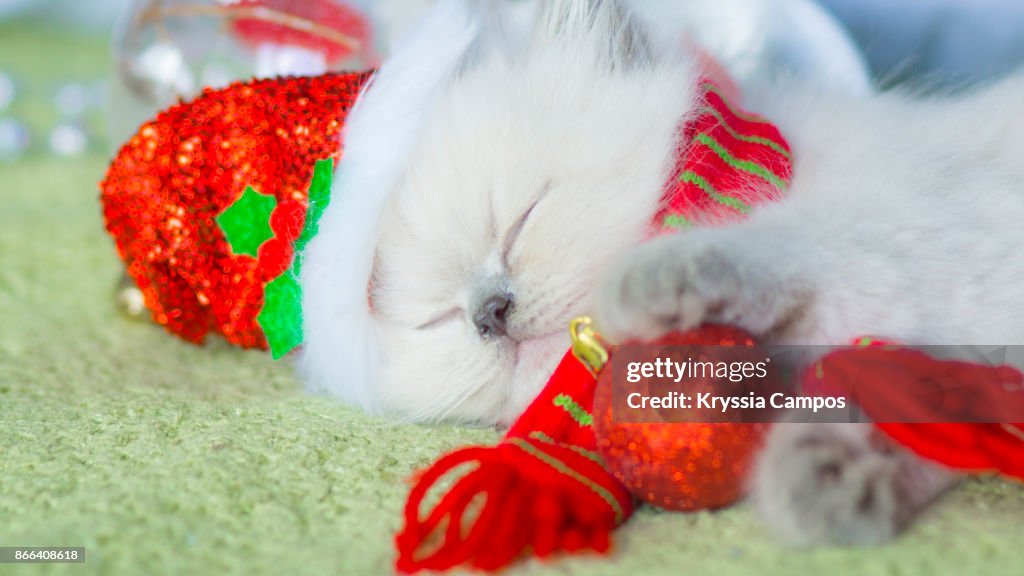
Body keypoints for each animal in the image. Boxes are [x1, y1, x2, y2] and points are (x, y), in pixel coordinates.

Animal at [303, 0, 1024, 545]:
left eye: (521, 218)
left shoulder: (931, 231)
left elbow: (785, 247)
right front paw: (829, 480)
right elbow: (916, 407)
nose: (490, 312)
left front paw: (648, 281)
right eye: (437, 319)